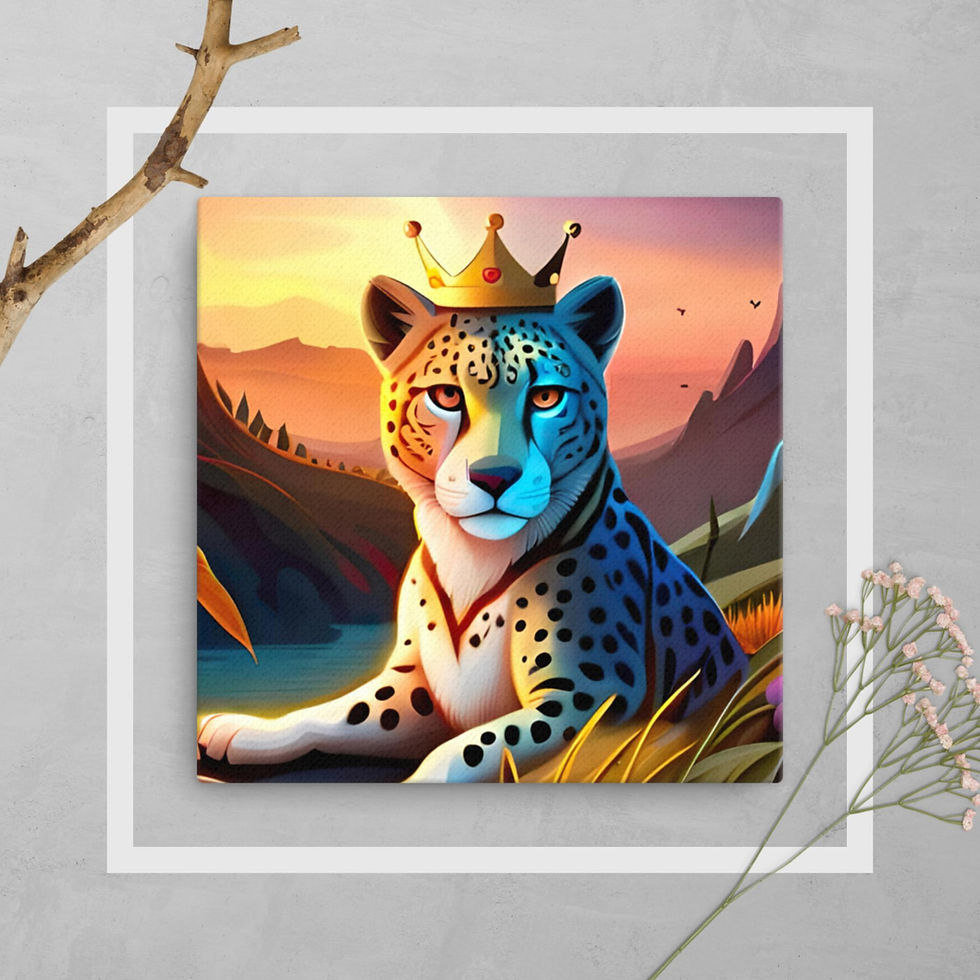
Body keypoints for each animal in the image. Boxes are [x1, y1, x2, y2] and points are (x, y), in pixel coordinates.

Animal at [198, 273, 748, 782]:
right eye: (445, 395)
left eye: (546, 397)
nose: (494, 476)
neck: (471, 556)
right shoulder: (417, 683)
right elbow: (340, 710)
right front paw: (245, 728)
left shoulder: (591, 696)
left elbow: (467, 749)